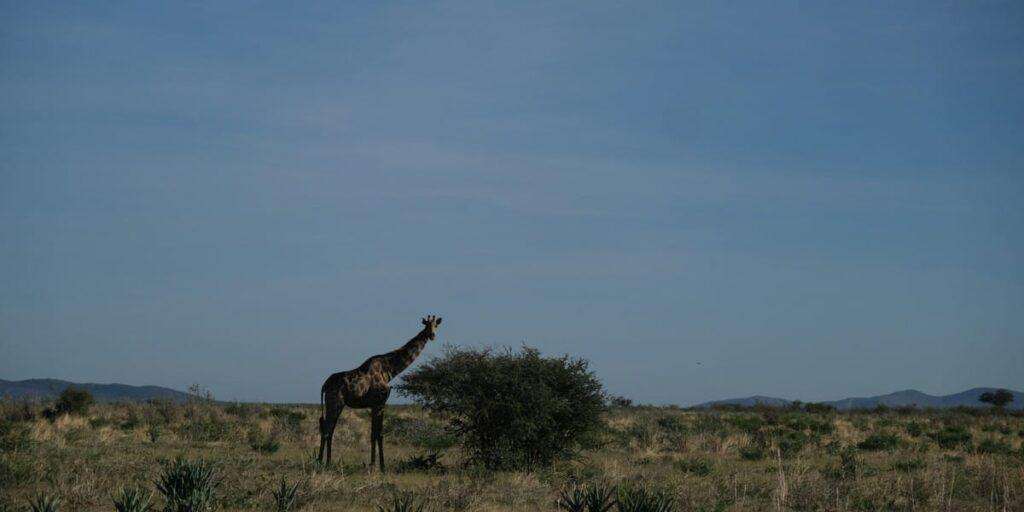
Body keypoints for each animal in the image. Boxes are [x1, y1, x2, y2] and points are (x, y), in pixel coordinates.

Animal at [317, 315, 442, 470]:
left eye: (436, 325)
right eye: (427, 325)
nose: (432, 335)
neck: (389, 370)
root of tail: (324, 385)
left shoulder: (375, 404)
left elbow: (374, 434)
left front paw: (374, 464)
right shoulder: (380, 402)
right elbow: (379, 434)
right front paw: (380, 466)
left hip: (337, 404)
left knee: (329, 429)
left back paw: (328, 462)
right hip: (335, 402)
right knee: (326, 429)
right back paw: (320, 462)